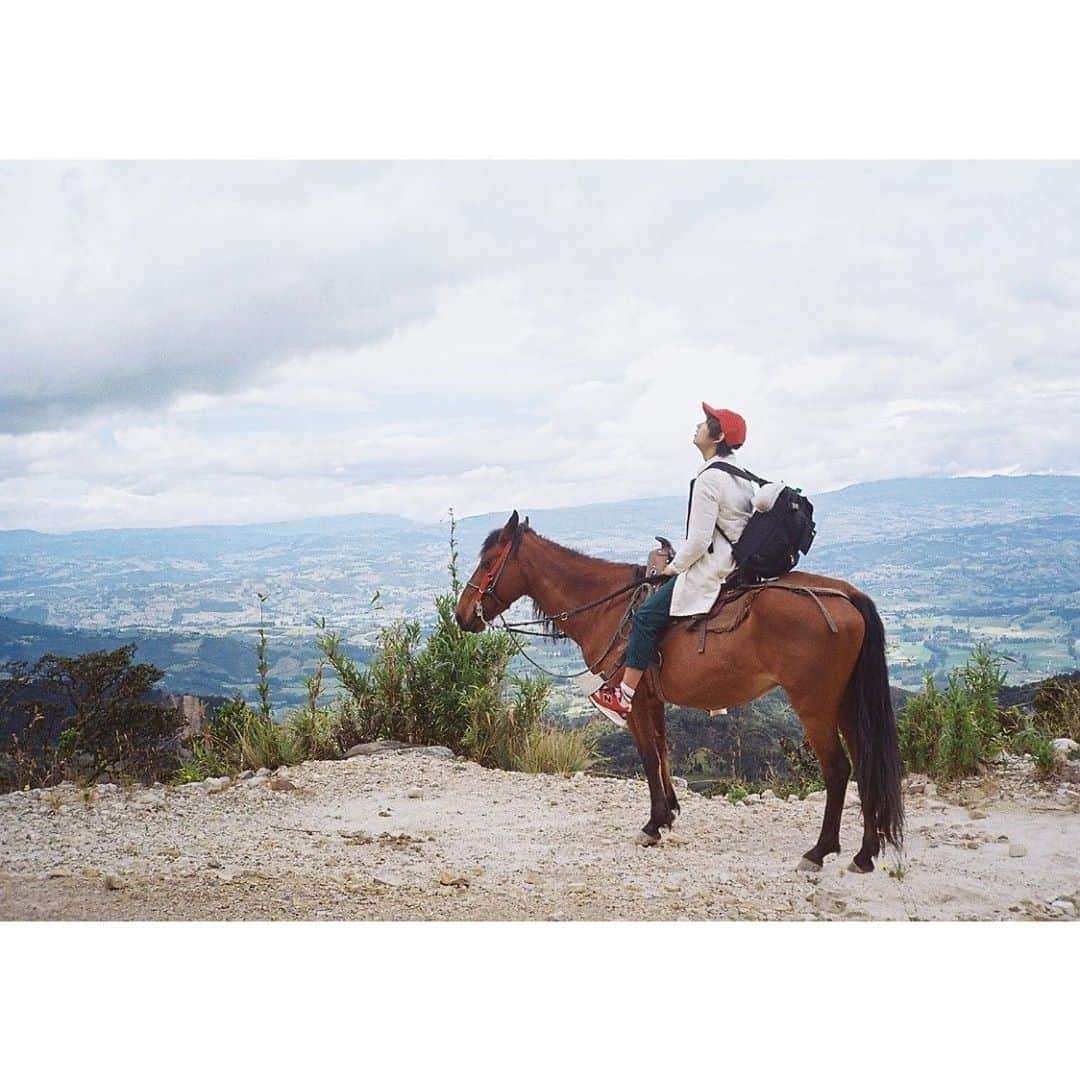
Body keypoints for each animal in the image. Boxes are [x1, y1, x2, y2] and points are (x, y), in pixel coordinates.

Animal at [451, 509, 907, 872]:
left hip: (815, 706)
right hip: (844, 703)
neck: (607, 606)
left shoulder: (631, 701)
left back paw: (819, 851)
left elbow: (648, 757)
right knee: (865, 765)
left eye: (489, 561)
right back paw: (865, 853)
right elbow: (664, 752)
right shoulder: (652, 699)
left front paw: (653, 824)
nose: (461, 614)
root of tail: (847, 596)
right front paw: (669, 812)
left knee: (839, 770)